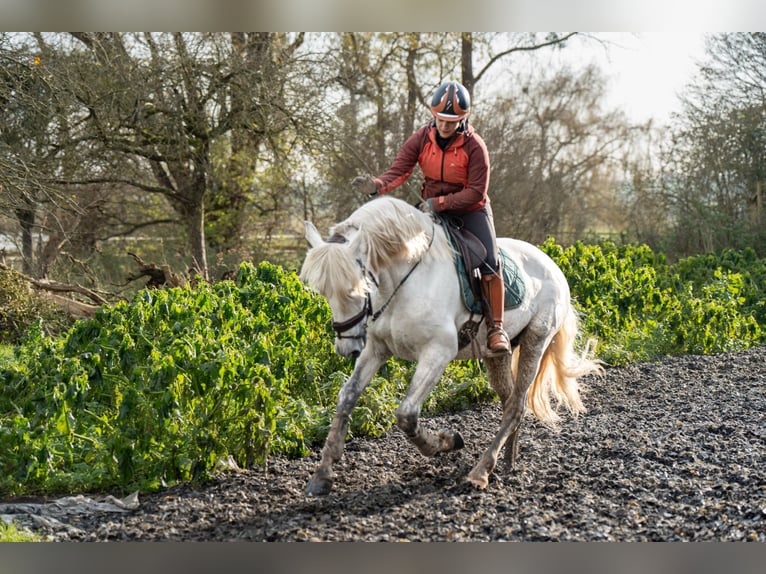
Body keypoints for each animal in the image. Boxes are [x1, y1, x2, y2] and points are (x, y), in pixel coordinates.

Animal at [299, 195, 602, 496]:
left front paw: (446, 442)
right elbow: (347, 397)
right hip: (497, 354)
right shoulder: (376, 348)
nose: (347, 350)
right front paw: (322, 475)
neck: (403, 281)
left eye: (356, 289)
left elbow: (406, 415)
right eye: (324, 292)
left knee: (516, 407)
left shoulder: (438, 352)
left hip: (535, 342)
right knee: (510, 403)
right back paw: (508, 461)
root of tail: (552, 264)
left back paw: (481, 472)